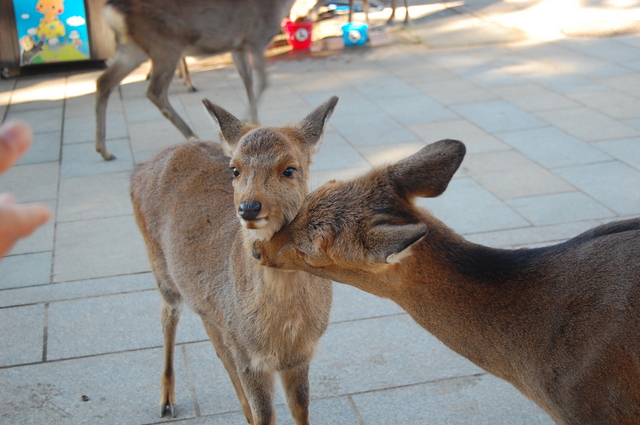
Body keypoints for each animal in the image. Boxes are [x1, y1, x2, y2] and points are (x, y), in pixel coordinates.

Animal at [95, 0, 298, 161]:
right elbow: (263, 81)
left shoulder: (238, 46)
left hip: (132, 48)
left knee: (104, 81)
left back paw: (104, 150)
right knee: (155, 92)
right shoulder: (256, 39)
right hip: (164, 46)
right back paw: (192, 135)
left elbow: (247, 79)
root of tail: (110, 8)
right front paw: (253, 121)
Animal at [131, 97, 340, 424]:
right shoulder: (248, 357)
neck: (284, 331)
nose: (249, 207)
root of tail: (144, 165)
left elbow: (301, 409)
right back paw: (166, 401)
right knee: (168, 316)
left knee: (214, 340)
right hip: (158, 264)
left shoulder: (300, 354)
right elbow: (265, 414)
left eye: (290, 169)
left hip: (209, 306)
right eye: (234, 170)